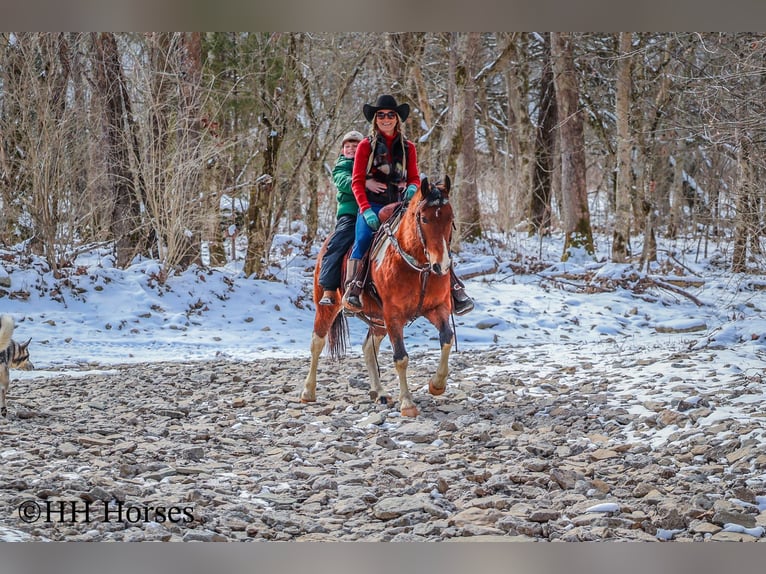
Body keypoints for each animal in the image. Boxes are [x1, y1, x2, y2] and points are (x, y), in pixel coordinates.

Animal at [301, 176, 455, 417]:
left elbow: (447, 339)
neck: (418, 267)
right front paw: (407, 403)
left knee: (367, 348)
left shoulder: (437, 308)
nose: (442, 265)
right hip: (328, 306)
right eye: (424, 218)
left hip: (378, 320)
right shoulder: (393, 315)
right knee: (317, 342)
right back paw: (308, 392)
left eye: (450, 217)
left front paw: (437, 385)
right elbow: (401, 357)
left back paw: (379, 392)